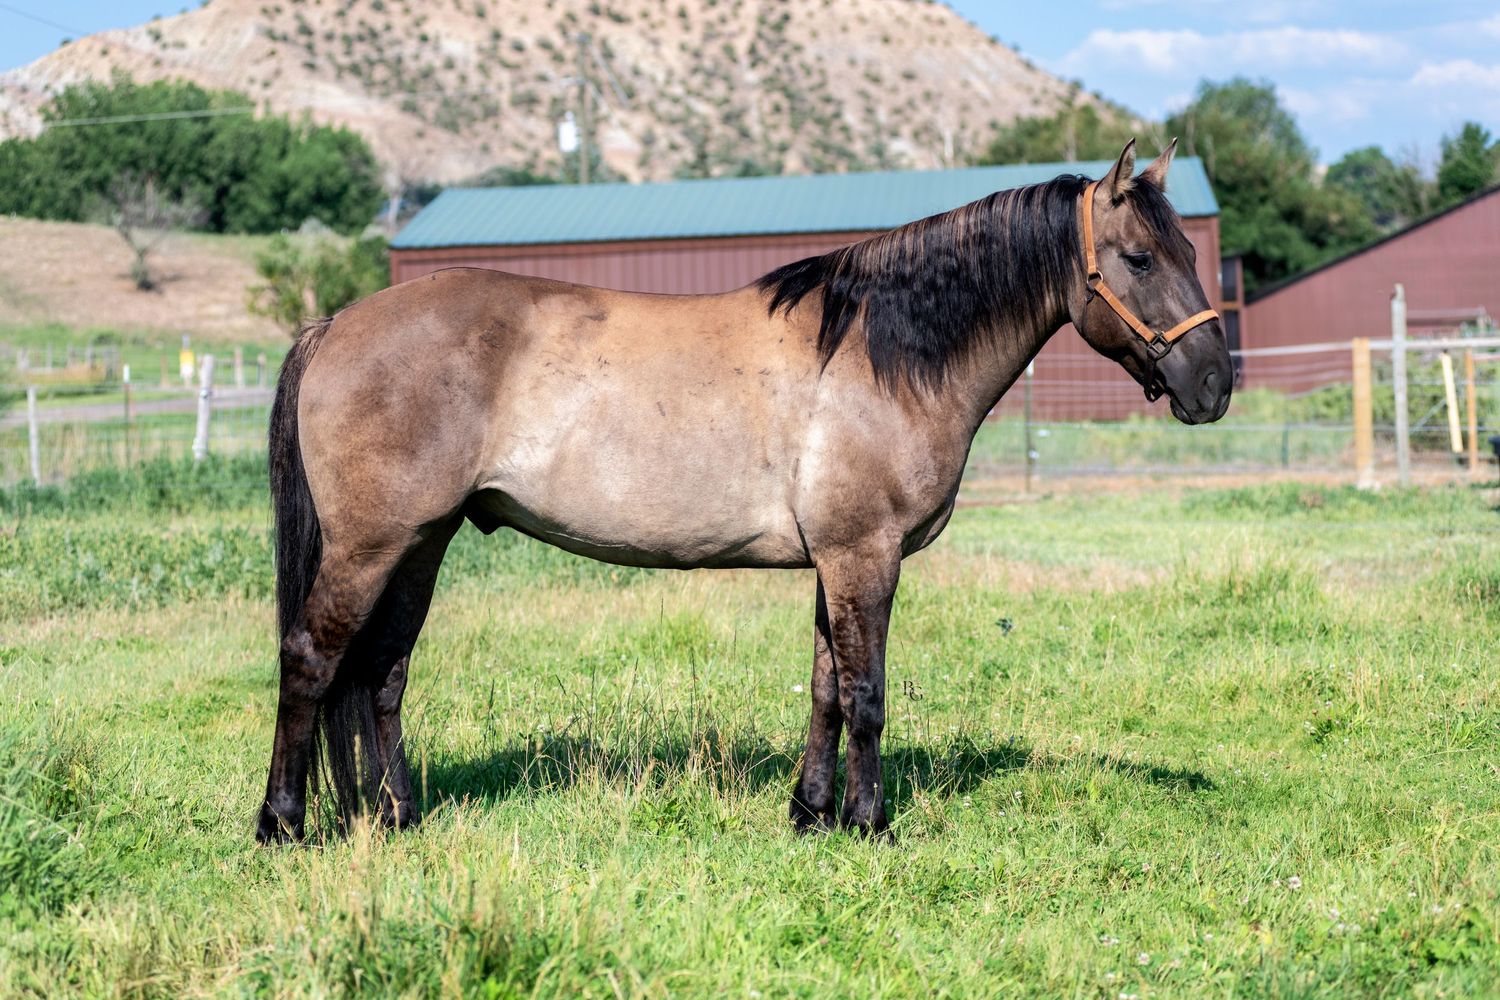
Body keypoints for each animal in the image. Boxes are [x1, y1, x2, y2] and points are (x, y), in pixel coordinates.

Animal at [256, 139, 1231, 844]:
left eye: (1191, 247)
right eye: (1139, 259)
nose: (1216, 384)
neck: (877, 354)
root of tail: (336, 323)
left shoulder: (835, 562)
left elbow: (828, 689)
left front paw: (812, 816)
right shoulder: (864, 556)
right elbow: (868, 694)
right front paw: (871, 826)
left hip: (422, 542)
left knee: (382, 674)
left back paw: (398, 816)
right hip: (370, 545)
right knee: (311, 659)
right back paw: (283, 824)